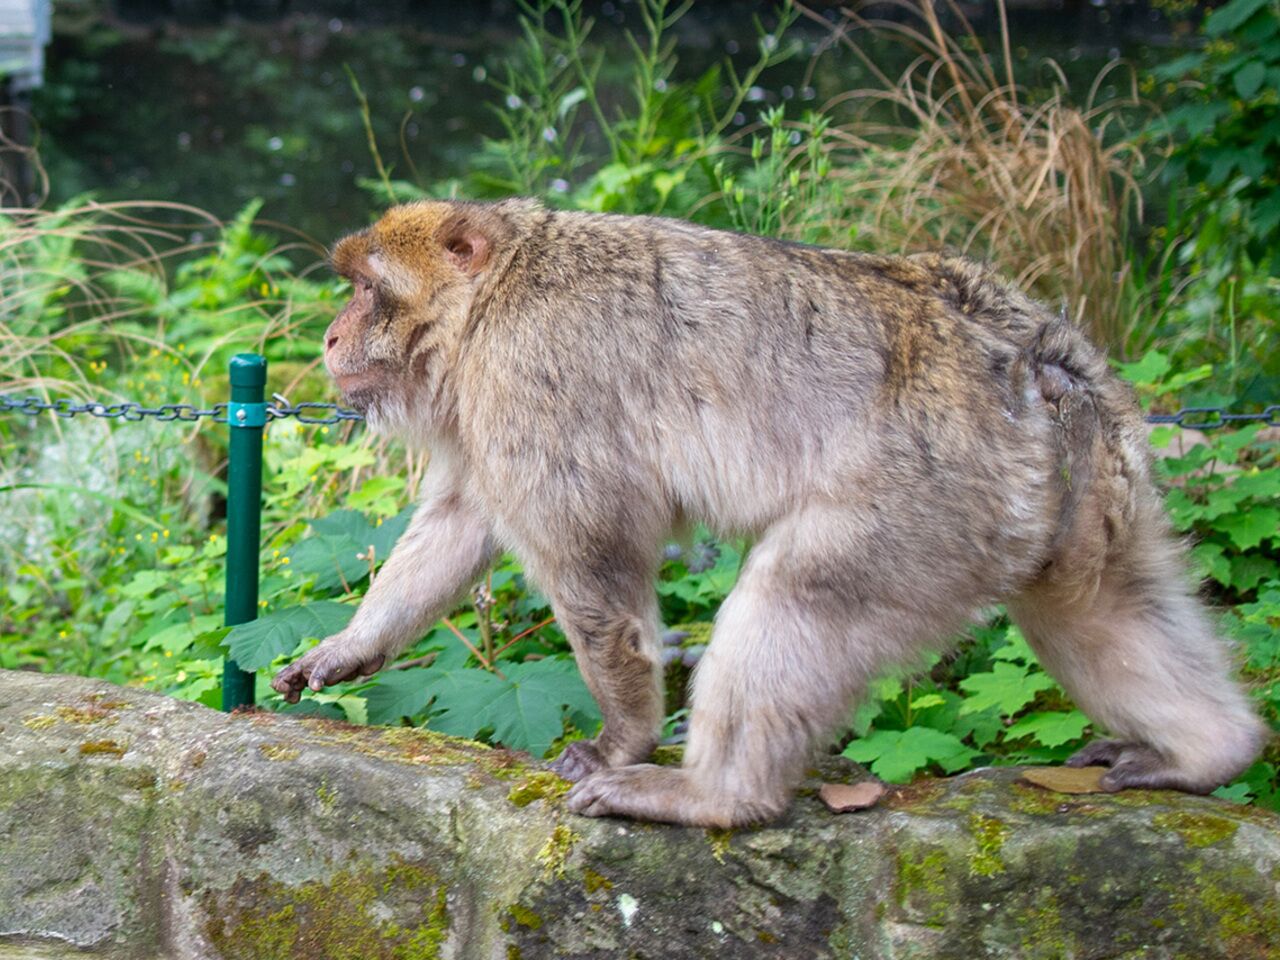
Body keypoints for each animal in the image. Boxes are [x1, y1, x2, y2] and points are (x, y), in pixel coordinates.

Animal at [267, 199, 1259, 829]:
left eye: (366, 288)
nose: (328, 335)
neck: (496, 294)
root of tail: (1039, 360)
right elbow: (462, 522)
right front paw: (347, 648)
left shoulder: (530, 374)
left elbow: (595, 566)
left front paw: (623, 740)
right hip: (1072, 503)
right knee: (1094, 609)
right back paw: (1210, 753)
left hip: (930, 497)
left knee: (801, 593)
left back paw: (717, 798)